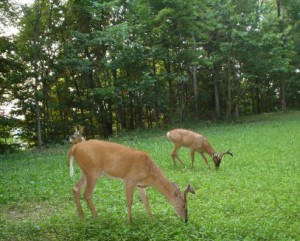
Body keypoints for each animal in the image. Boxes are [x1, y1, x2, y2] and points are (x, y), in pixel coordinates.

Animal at [67, 138, 195, 223]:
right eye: (183, 205)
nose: (186, 219)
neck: (149, 172)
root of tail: (74, 148)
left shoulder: (140, 185)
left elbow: (146, 201)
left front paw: (152, 219)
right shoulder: (130, 180)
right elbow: (129, 201)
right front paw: (129, 221)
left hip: (85, 171)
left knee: (76, 188)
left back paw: (82, 216)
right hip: (93, 171)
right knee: (87, 193)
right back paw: (97, 218)